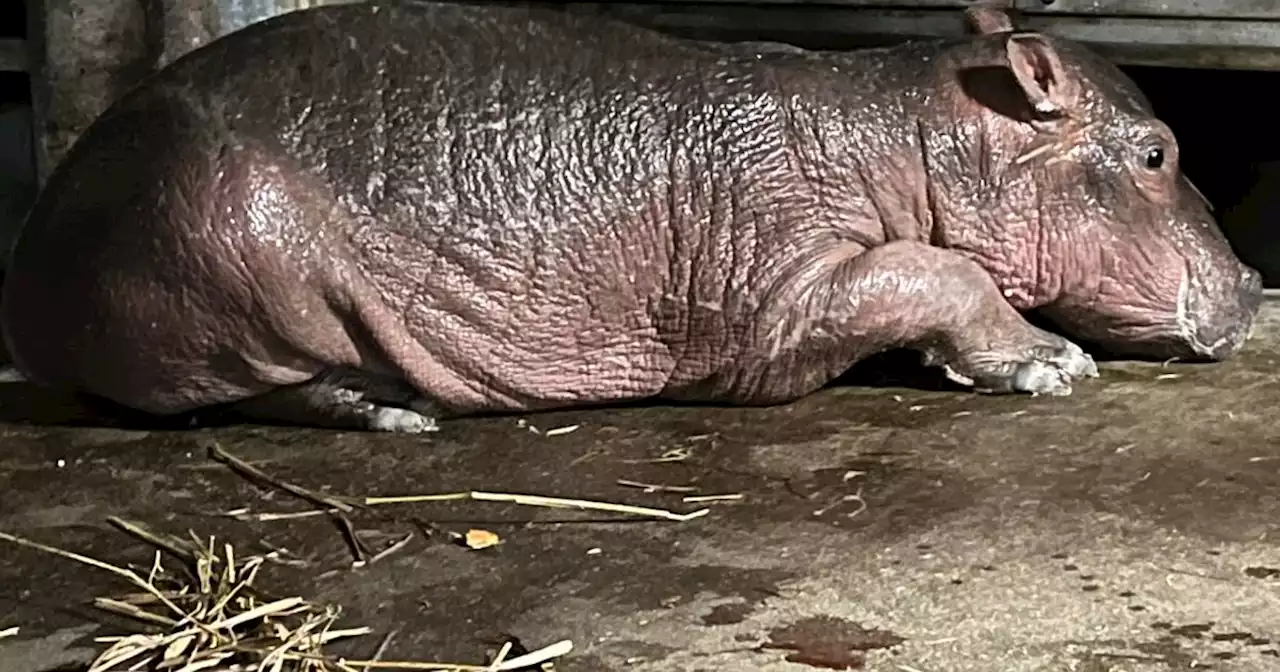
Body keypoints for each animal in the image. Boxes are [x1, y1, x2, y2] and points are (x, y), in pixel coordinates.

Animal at [0, 1, 1259, 430]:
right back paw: (398, 412)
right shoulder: (773, 292)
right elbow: (931, 271)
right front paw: (1052, 364)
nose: (1252, 284)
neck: (913, 136)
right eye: (1156, 150)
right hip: (233, 257)